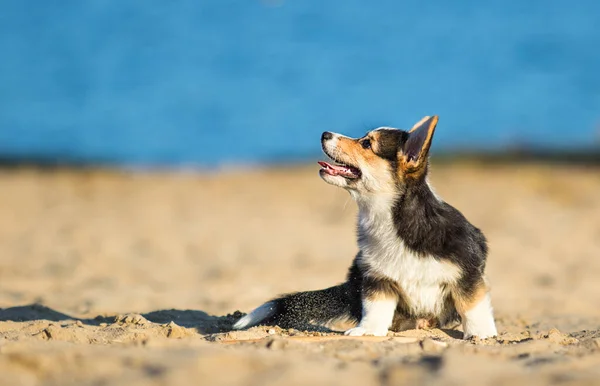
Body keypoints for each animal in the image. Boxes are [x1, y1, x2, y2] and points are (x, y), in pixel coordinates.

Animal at [233, 116, 496, 340]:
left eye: (367, 143)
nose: (324, 133)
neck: (388, 218)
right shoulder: (376, 278)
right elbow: (375, 307)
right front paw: (368, 331)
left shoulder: (467, 273)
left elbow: (472, 307)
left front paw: (481, 334)